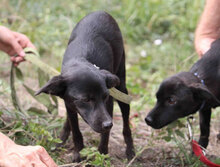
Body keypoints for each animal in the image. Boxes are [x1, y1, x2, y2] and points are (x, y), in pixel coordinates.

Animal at [35, 11, 134, 161]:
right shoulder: (69, 103)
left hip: (122, 87)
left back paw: (130, 150)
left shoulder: (109, 104)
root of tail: (102, 12)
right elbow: (75, 129)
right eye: (85, 99)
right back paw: (61, 139)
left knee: (126, 125)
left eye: (105, 97)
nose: (108, 124)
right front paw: (78, 152)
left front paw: (102, 155)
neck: (82, 61)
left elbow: (105, 135)